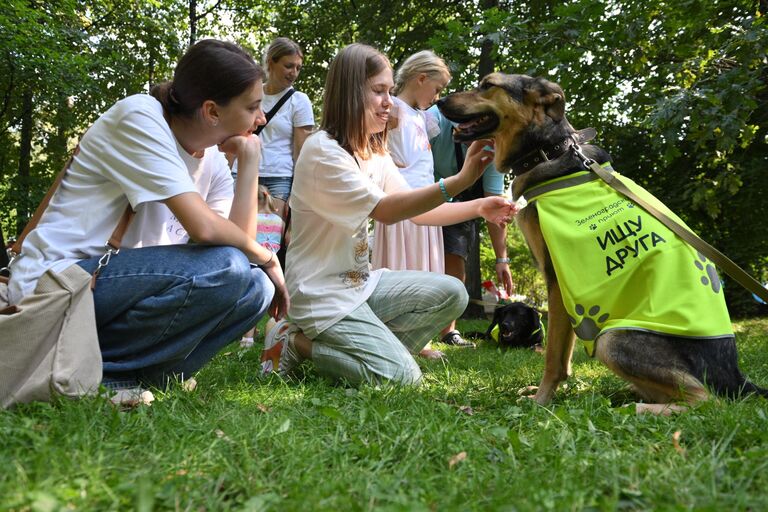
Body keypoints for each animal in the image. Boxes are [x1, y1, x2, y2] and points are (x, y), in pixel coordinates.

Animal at [438, 73, 768, 408]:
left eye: (487, 84)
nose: (439, 101)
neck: (550, 150)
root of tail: (736, 377)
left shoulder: (557, 281)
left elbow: (553, 356)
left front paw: (541, 401)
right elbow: (564, 357)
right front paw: (552, 393)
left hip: (611, 339)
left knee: (706, 399)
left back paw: (639, 408)